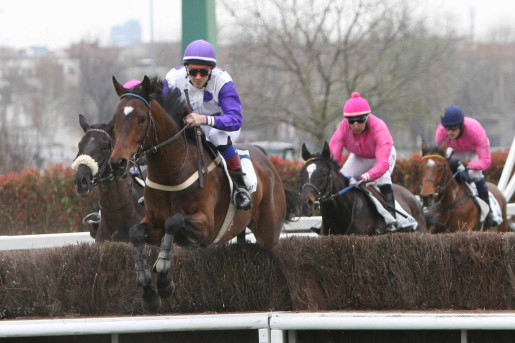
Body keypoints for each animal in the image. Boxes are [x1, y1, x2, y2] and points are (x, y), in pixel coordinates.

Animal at [109, 76, 302, 314]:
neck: (172, 171)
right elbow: (136, 232)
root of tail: (268, 161)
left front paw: (163, 278)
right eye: (115, 120)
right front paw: (148, 292)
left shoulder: (206, 229)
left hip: (269, 229)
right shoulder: (153, 223)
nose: (117, 163)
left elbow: (173, 221)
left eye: (142, 119)